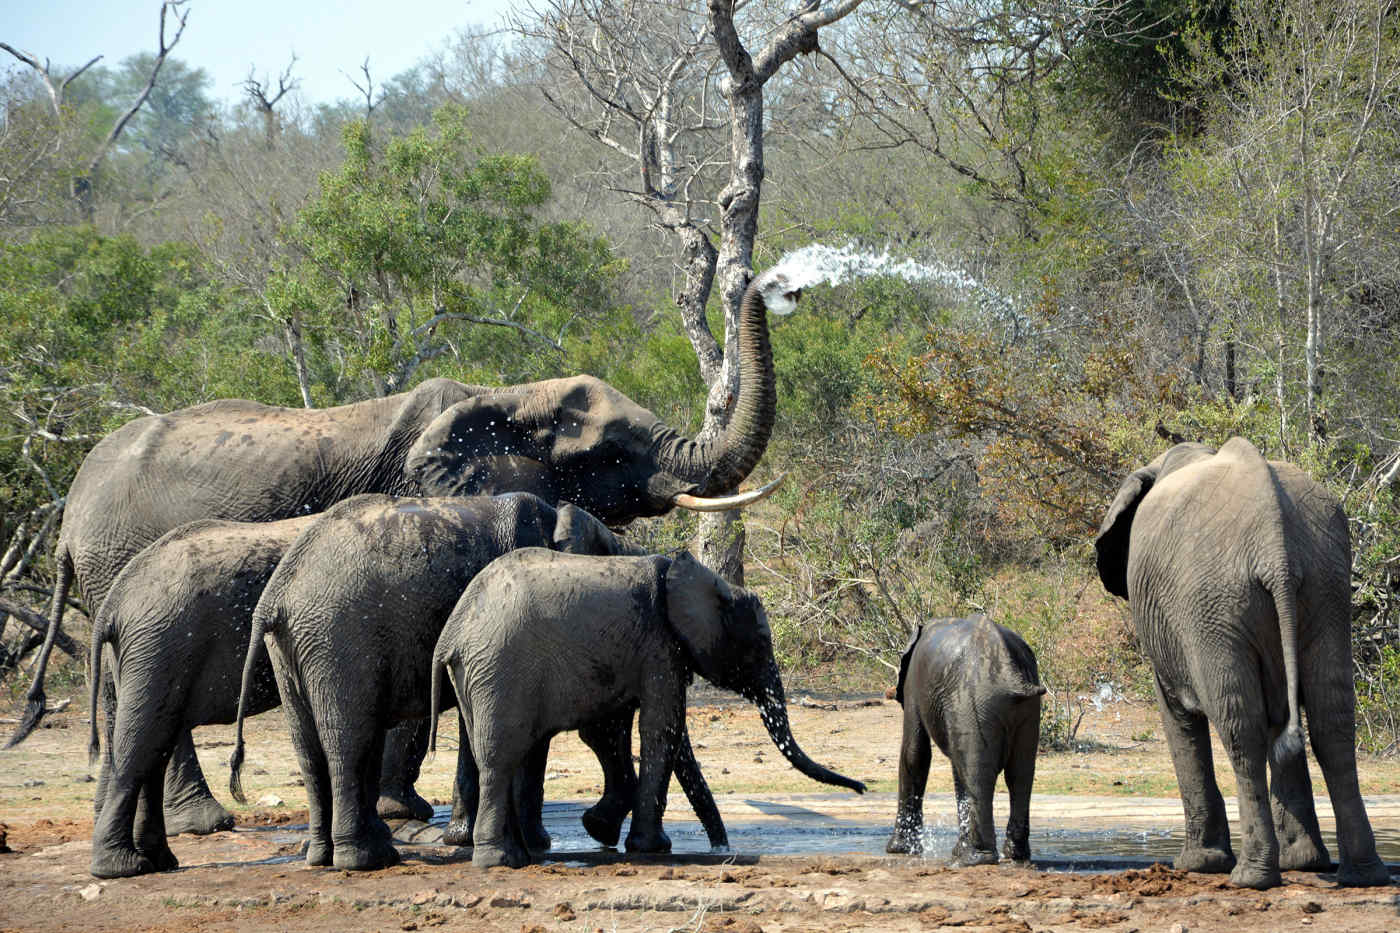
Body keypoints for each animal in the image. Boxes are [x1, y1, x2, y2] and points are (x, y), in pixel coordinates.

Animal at [222, 490, 722, 868]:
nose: (719, 847)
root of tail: (277, 595)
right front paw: (526, 844)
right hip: (337, 634)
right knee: (350, 739)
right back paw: (366, 859)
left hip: (296, 646)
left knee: (309, 746)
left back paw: (326, 855)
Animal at [428, 546, 862, 862]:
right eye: (759, 645)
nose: (860, 787)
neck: (691, 575)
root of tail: (452, 634)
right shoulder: (660, 644)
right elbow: (663, 725)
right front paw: (652, 848)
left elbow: (610, 730)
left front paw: (601, 829)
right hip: (499, 668)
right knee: (500, 759)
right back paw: (498, 861)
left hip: (477, 674)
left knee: (505, 752)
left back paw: (520, 856)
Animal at [879, 613, 1047, 862]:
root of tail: (1010, 673)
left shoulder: (913, 685)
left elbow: (915, 753)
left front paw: (899, 850)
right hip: (1025, 709)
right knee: (1018, 773)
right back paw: (1013, 856)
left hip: (971, 700)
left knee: (976, 772)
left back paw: (971, 858)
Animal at [1097, 437, 1394, 885]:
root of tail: (1275, 547)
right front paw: (1303, 861)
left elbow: (1179, 717)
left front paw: (1197, 865)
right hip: (1325, 587)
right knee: (1332, 721)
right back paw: (1357, 873)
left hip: (1211, 604)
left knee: (1241, 729)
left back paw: (1250, 878)